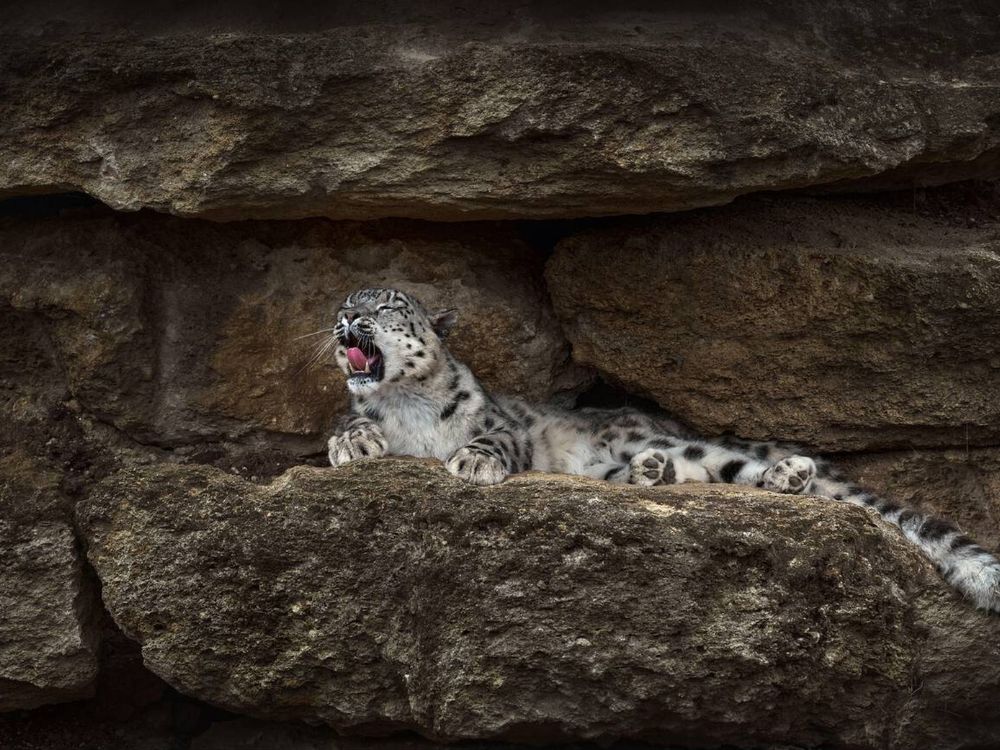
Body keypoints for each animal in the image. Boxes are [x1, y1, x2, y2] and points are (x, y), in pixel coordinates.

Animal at [325, 287, 1000, 613]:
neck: (408, 404)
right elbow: (344, 429)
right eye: (345, 302)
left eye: (387, 305)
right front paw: (354, 446)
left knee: (740, 467)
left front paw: (470, 460)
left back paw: (785, 471)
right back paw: (651, 473)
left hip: (679, 442)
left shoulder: (503, 423)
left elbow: (492, 436)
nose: (345, 319)